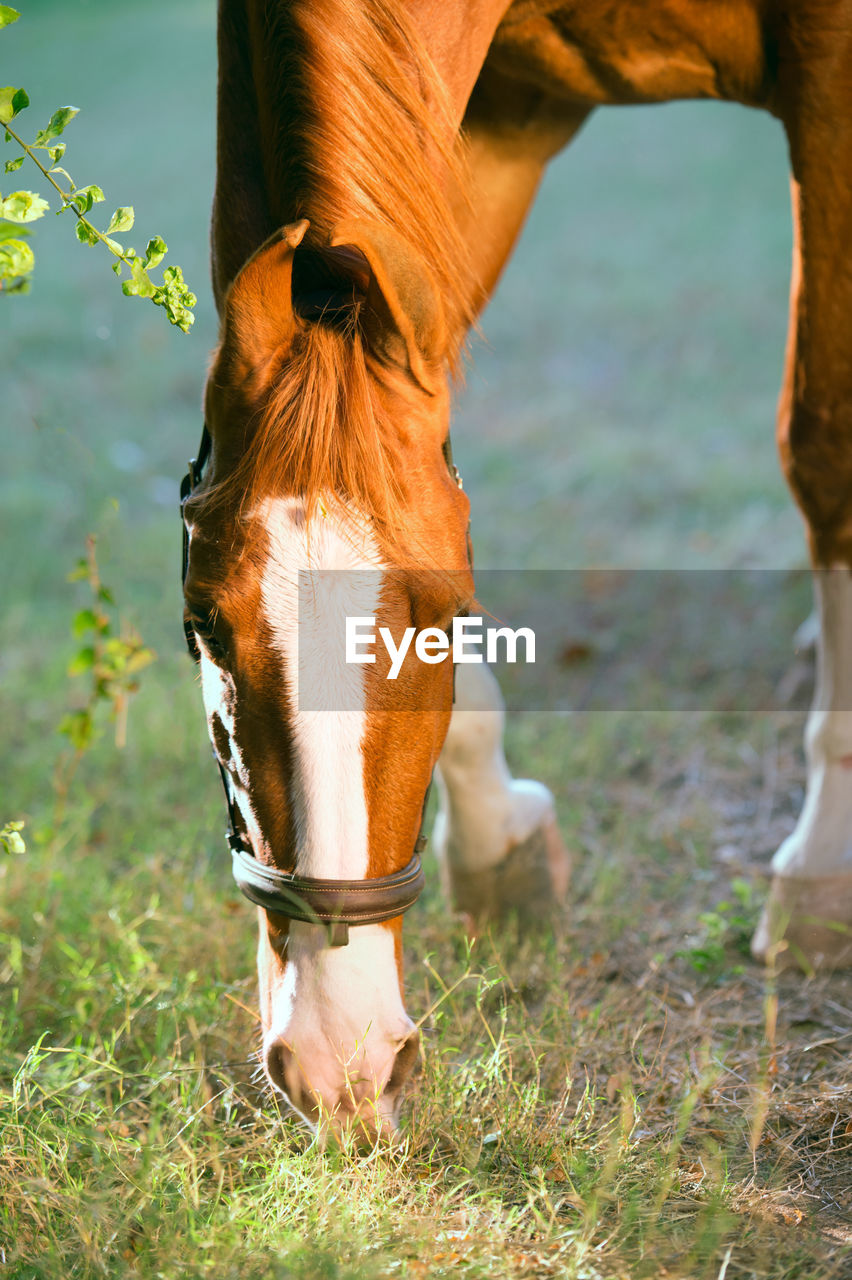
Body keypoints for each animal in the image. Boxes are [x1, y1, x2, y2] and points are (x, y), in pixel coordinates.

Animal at [182, 0, 849, 1141]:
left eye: (444, 611)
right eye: (205, 624)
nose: (340, 1058)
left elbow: (825, 442)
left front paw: (823, 866)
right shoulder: (496, 110)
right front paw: (497, 833)